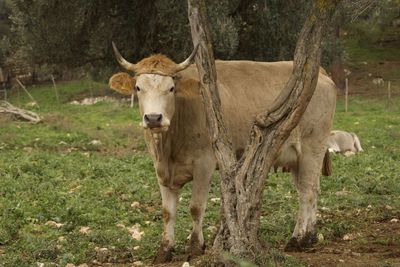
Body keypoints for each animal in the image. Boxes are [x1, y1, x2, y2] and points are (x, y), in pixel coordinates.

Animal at [108, 43, 336, 262]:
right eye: (138, 88)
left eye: (171, 88)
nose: (154, 118)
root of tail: (319, 72)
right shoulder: (161, 169)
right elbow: (167, 212)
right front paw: (165, 250)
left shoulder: (204, 164)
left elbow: (196, 207)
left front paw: (195, 247)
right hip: (297, 158)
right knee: (309, 190)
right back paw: (310, 236)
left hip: (312, 148)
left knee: (308, 191)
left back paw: (299, 239)